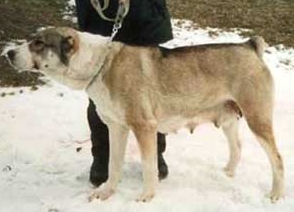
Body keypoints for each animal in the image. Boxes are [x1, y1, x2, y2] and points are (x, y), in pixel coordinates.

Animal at [4, 26, 284, 202]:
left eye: (38, 43)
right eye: (31, 40)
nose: (7, 53)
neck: (100, 65)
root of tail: (249, 46)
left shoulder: (144, 127)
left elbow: (149, 167)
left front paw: (146, 197)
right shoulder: (116, 128)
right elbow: (113, 165)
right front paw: (107, 193)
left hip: (257, 120)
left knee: (278, 160)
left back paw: (276, 194)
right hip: (228, 120)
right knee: (237, 146)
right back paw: (228, 173)